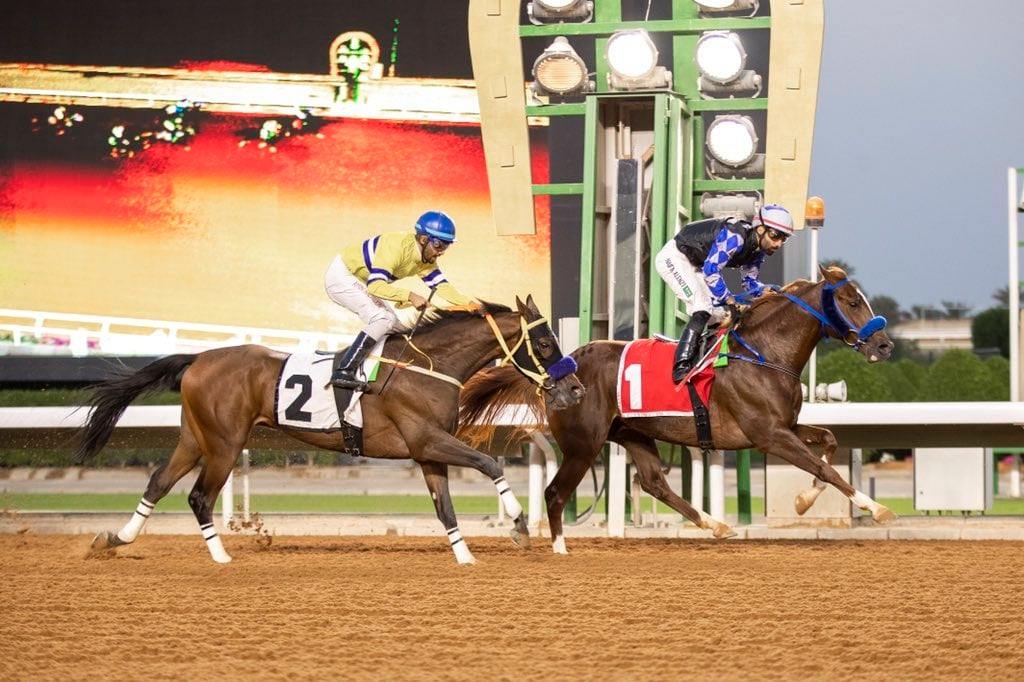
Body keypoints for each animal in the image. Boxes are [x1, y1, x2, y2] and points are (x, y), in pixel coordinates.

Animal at [75, 296, 585, 564]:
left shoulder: (427, 453)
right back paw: (221, 557)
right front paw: (518, 524)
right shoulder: (427, 439)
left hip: (193, 438)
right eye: (544, 343)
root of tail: (199, 358)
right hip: (224, 443)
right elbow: (488, 462)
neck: (428, 367)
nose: (575, 388)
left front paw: (464, 557)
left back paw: (115, 539)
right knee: (199, 496)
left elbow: (445, 509)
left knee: (157, 483)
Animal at [459, 266, 895, 553]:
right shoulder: (768, 435)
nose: (885, 345)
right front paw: (876, 508)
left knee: (655, 483)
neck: (764, 355)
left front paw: (805, 501)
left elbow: (829, 443)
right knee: (554, 493)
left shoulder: (786, 426)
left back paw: (715, 524)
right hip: (584, 444)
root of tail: (561, 368)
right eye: (851, 301)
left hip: (633, 433)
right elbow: (824, 467)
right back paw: (560, 548)